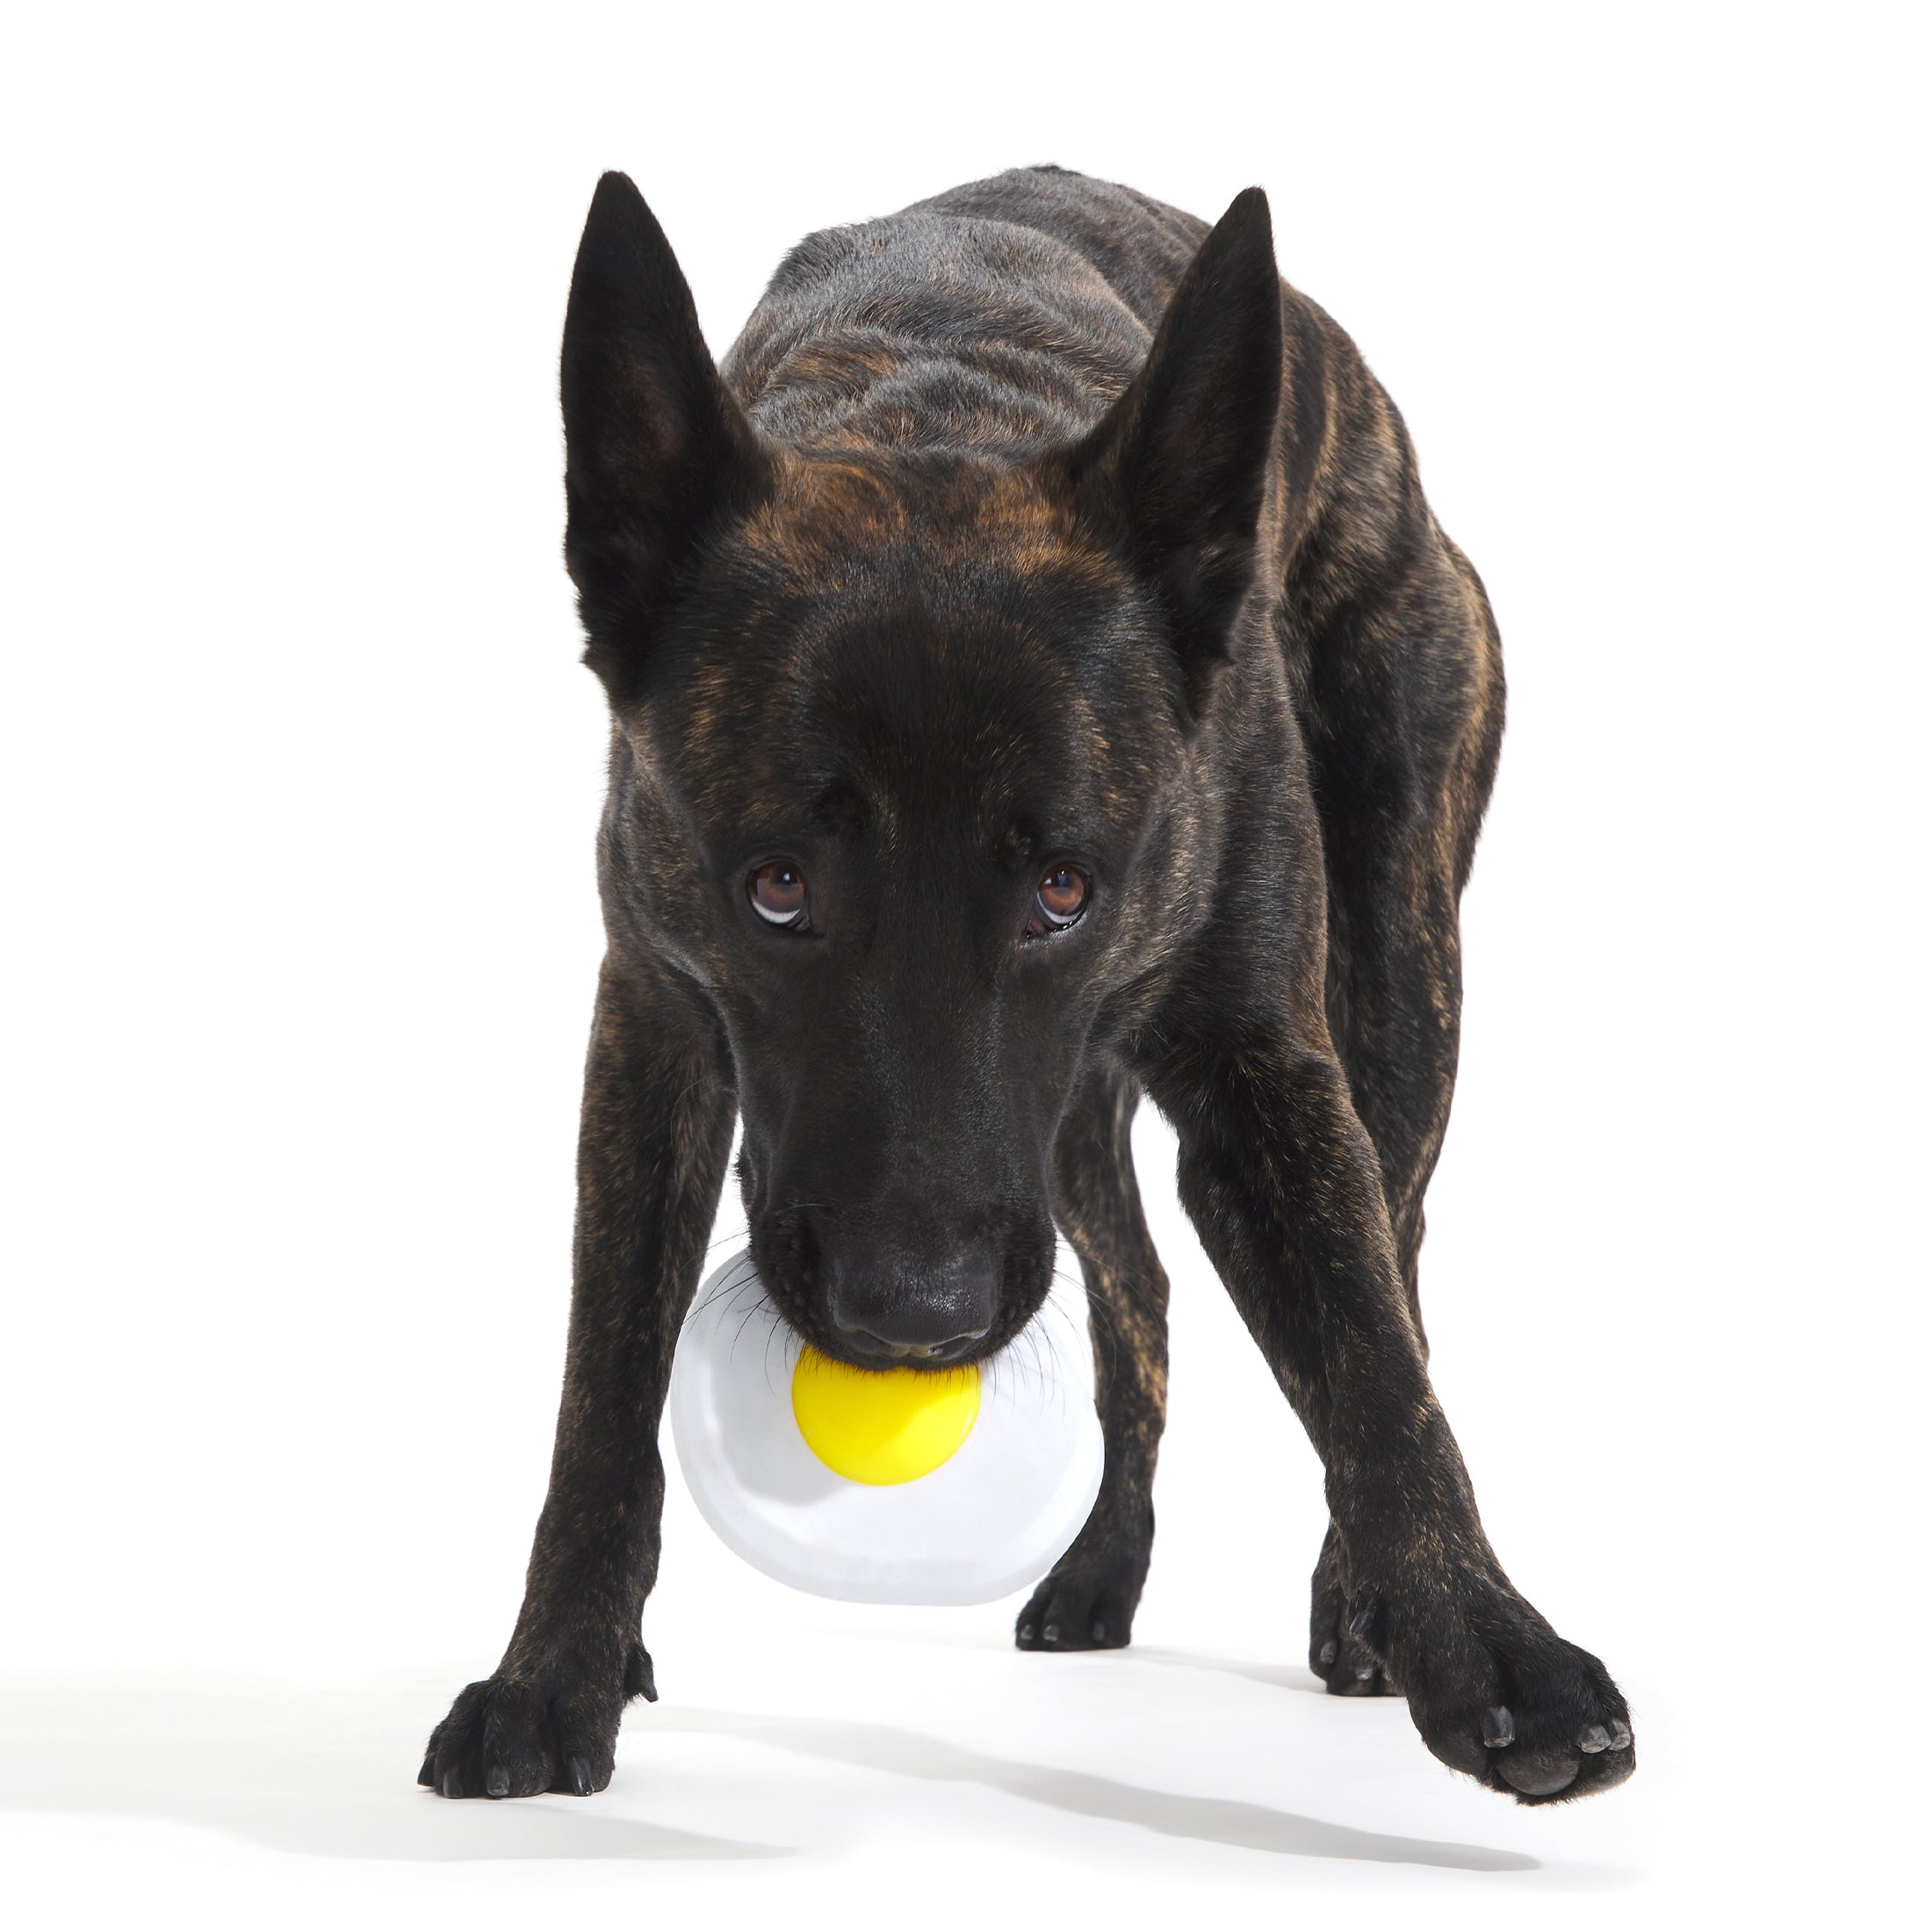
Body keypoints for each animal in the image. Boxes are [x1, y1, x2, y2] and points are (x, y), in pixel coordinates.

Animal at [419, 169, 1630, 1808]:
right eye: (777, 885)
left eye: (1067, 886)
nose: (910, 1313)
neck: (932, 406)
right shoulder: (656, 1034)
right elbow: (603, 1385)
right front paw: (556, 1671)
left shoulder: (1262, 1073)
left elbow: (1374, 1361)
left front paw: (1493, 1649)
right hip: (1062, 1132)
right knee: (1145, 1304)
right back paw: (1102, 1569)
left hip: (1396, 989)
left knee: (1403, 1254)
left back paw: (1355, 1599)